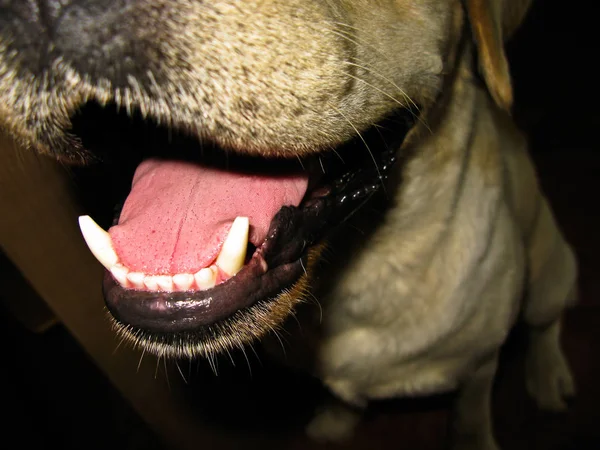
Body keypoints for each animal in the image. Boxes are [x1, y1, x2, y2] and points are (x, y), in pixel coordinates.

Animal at [0, 1, 576, 448]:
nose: (41, 6)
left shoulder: (480, 369)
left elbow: (471, 416)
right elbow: (343, 399)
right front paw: (335, 423)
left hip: (549, 272)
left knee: (546, 323)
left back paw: (548, 376)